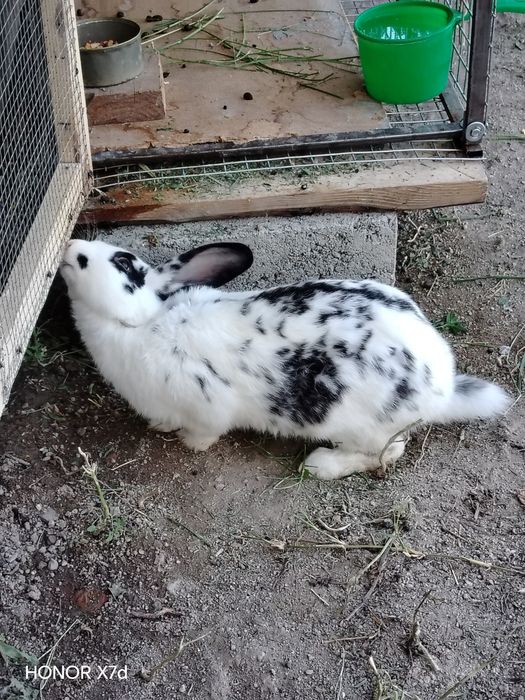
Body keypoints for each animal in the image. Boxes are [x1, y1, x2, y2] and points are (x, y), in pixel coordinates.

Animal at [60, 238, 511, 480]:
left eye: (121, 262)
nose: (70, 246)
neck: (142, 323)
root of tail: (443, 386)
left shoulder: (207, 408)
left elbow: (204, 434)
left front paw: (186, 441)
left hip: (366, 428)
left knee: (388, 453)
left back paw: (320, 465)